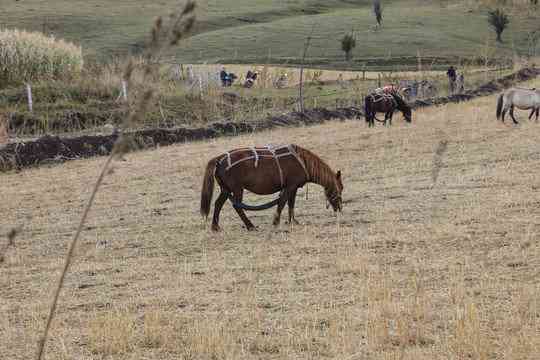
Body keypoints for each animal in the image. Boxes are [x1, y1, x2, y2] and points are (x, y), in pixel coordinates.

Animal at [200, 143, 344, 231]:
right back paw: (250, 226)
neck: (303, 162)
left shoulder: (293, 188)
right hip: (236, 189)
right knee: (237, 206)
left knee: (218, 204)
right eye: (340, 188)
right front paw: (276, 221)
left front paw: (292, 221)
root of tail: (219, 159)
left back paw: (215, 227)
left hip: (226, 189)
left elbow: (290, 204)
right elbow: (282, 203)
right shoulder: (290, 187)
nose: (339, 208)